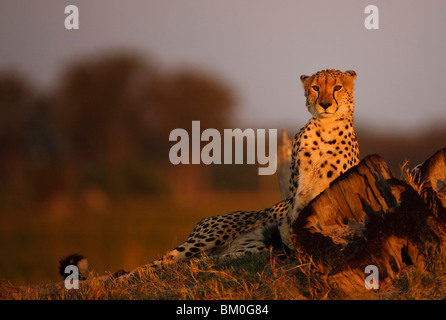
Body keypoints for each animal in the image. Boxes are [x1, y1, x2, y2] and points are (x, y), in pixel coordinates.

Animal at [124, 69, 358, 276]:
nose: (325, 104)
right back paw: (124, 279)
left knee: (199, 261)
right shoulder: (298, 195)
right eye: (316, 88)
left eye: (337, 87)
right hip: (209, 237)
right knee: (164, 260)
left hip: (239, 252)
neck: (325, 128)